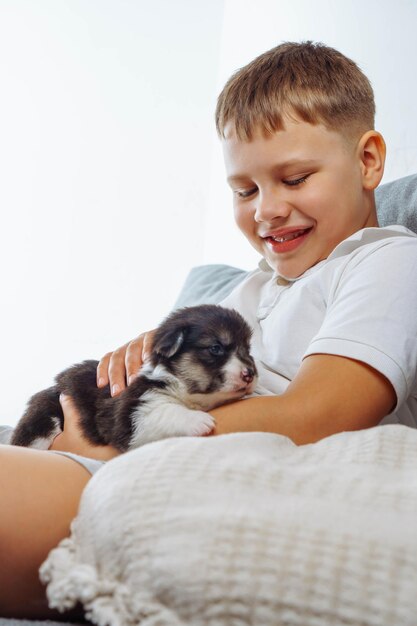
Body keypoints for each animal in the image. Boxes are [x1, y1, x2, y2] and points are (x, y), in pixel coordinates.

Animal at [10, 304, 256, 450]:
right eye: (216, 348)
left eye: (247, 349)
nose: (251, 374)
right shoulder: (131, 415)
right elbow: (165, 412)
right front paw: (198, 420)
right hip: (43, 419)